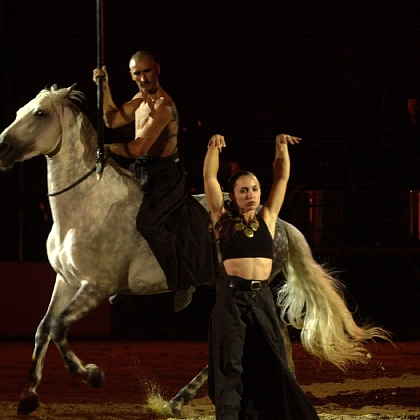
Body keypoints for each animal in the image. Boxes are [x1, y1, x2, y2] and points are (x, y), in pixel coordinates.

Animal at [0, 85, 390, 416]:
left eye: (39, 114)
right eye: (20, 110)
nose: (2, 147)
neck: (87, 204)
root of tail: (278, 223)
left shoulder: (96, 287)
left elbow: (59, 328)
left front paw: (93, 375)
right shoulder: (66, 281)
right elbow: (43, 329)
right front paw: (28, 397)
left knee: (271, 335)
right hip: (225, 285)